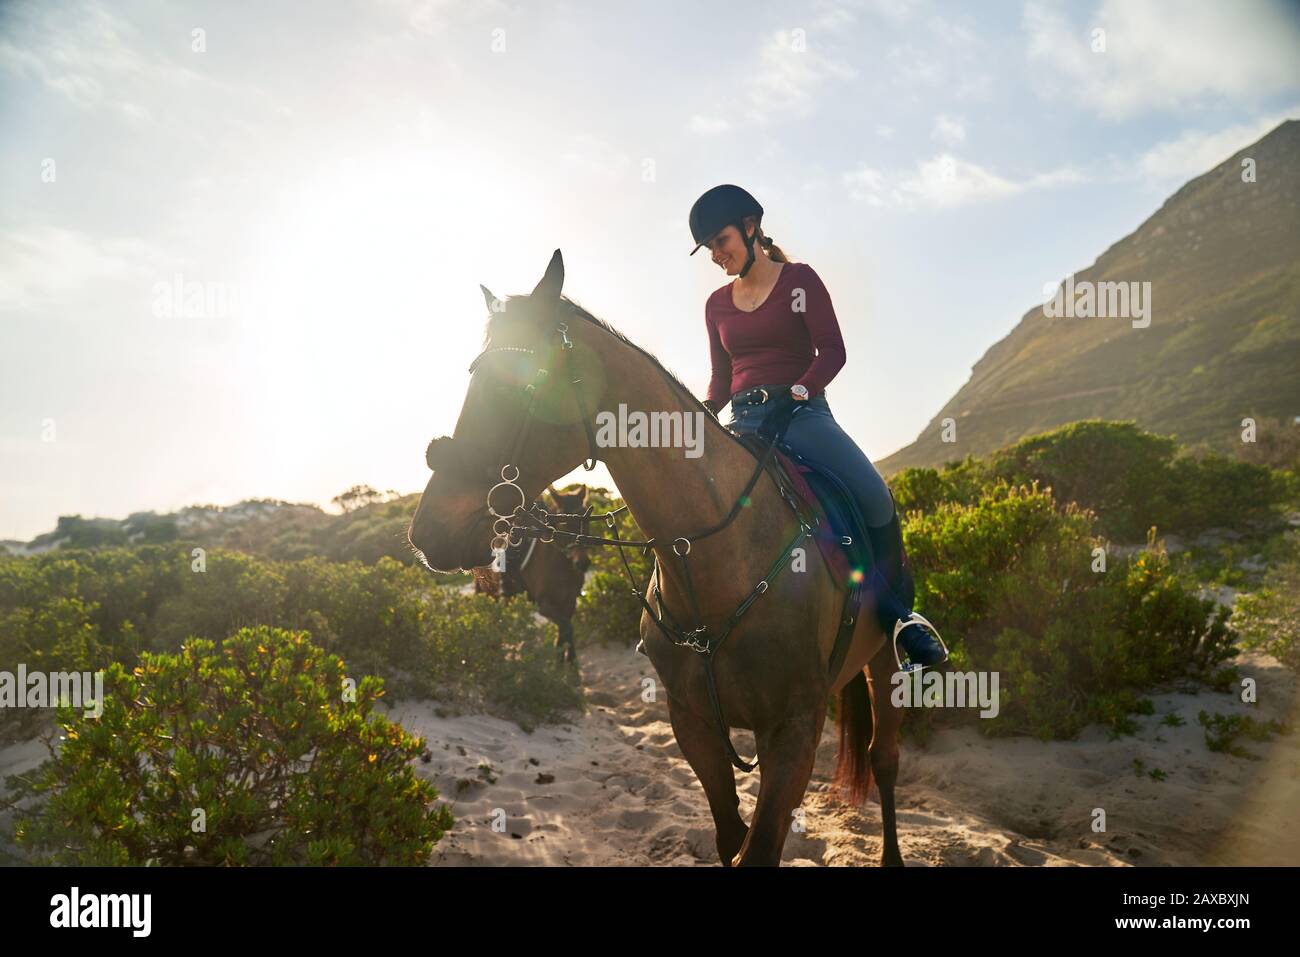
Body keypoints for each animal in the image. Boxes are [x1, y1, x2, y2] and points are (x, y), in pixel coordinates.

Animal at [473, 481, 595, 660]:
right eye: (564, 523)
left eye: (586, 521)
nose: (582, 563)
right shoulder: (544, 606)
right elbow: (565, 627)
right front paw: (564, 658)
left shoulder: (569, 601)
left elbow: (565, 630)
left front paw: (566, 659)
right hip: (491, 595)